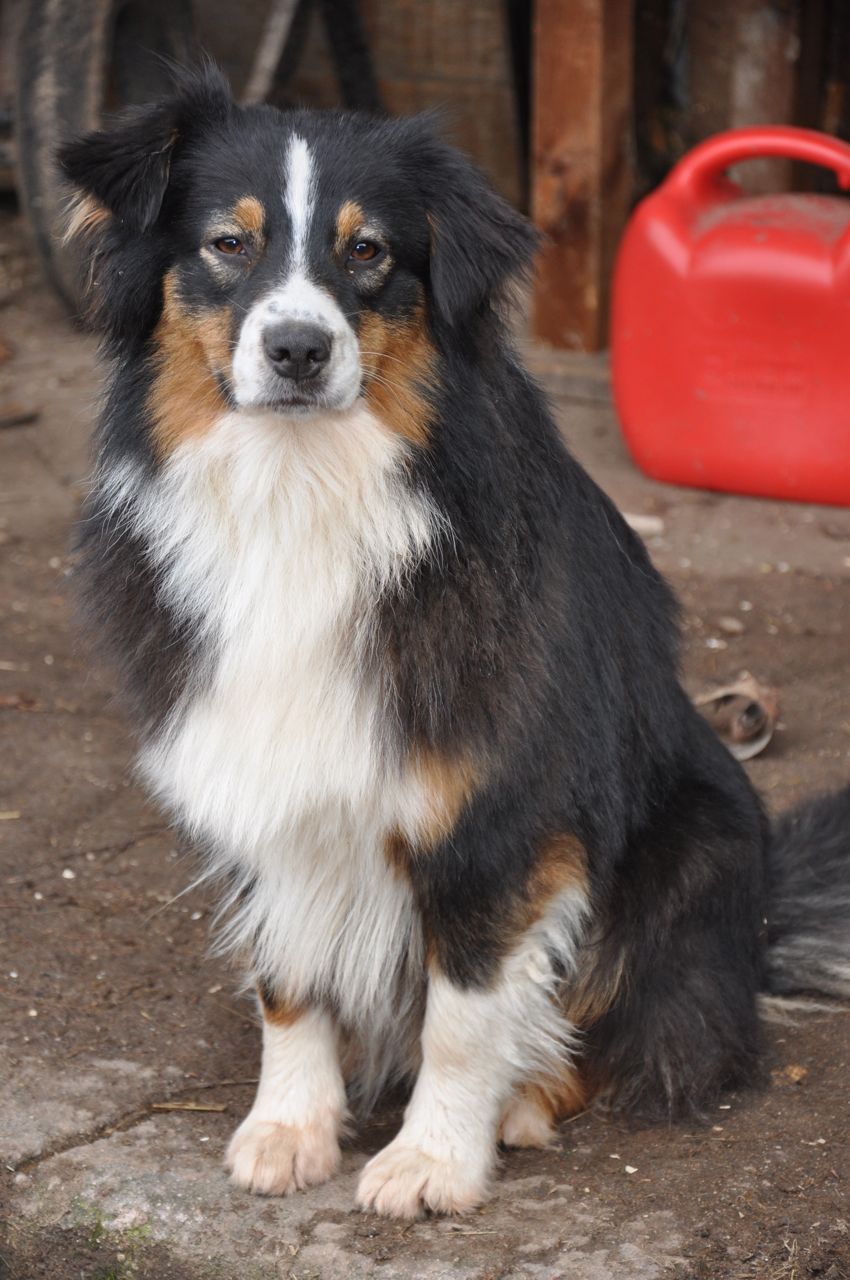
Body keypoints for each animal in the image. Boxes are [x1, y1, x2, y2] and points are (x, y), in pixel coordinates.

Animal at [59, 62, 850, 1218]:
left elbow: (464, 1010)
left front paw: (435, 1158)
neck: (301, 490)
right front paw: (290, 1128)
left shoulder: (497, 815)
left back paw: (525, 1099)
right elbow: (287, 976)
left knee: (647, 1028)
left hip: (694, 844)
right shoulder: (260, 777)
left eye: (369, 252)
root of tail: (757, 930)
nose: (298, 349)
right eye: (227, 242)